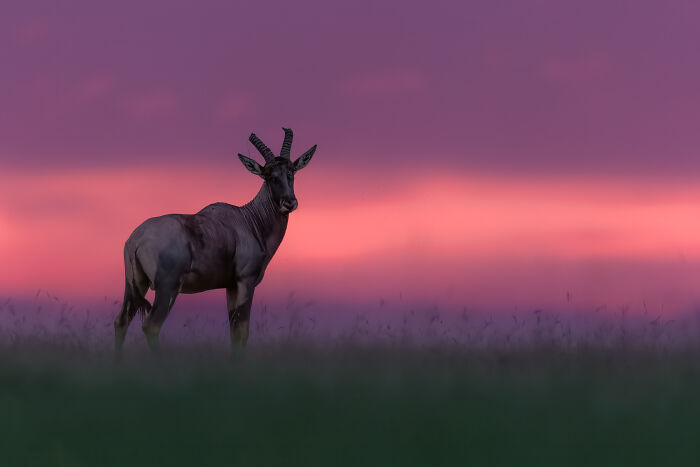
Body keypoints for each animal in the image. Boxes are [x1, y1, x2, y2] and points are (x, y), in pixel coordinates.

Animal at [114, 128, 317, 353]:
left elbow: (234, 333)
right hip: (167, 287)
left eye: (291, 172)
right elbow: (243, 332)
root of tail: (136, 240)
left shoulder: (230, 286)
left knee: (121, 322)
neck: (248, 220)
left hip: (135, 286)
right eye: (269, 176)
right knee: (151, 326)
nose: (289, 202)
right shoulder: (245, 282)